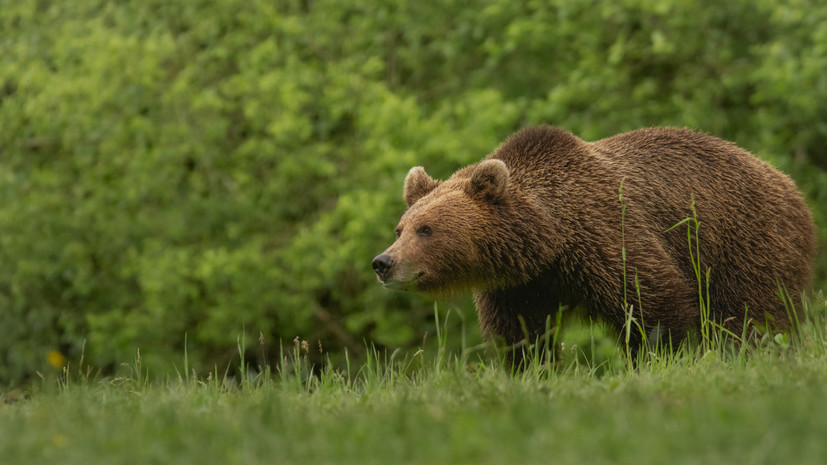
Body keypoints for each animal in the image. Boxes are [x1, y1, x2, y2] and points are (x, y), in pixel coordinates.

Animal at [372, 126, 816, 355]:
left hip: (743, 242)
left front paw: (656, 356)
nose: (383, 262)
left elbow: (652, 302)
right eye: (400, 228)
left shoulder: (605, 236)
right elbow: (522, 335)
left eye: (427, 229)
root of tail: (791, 187)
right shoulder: (519, 286)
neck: (549, 240)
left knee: (755, 315)